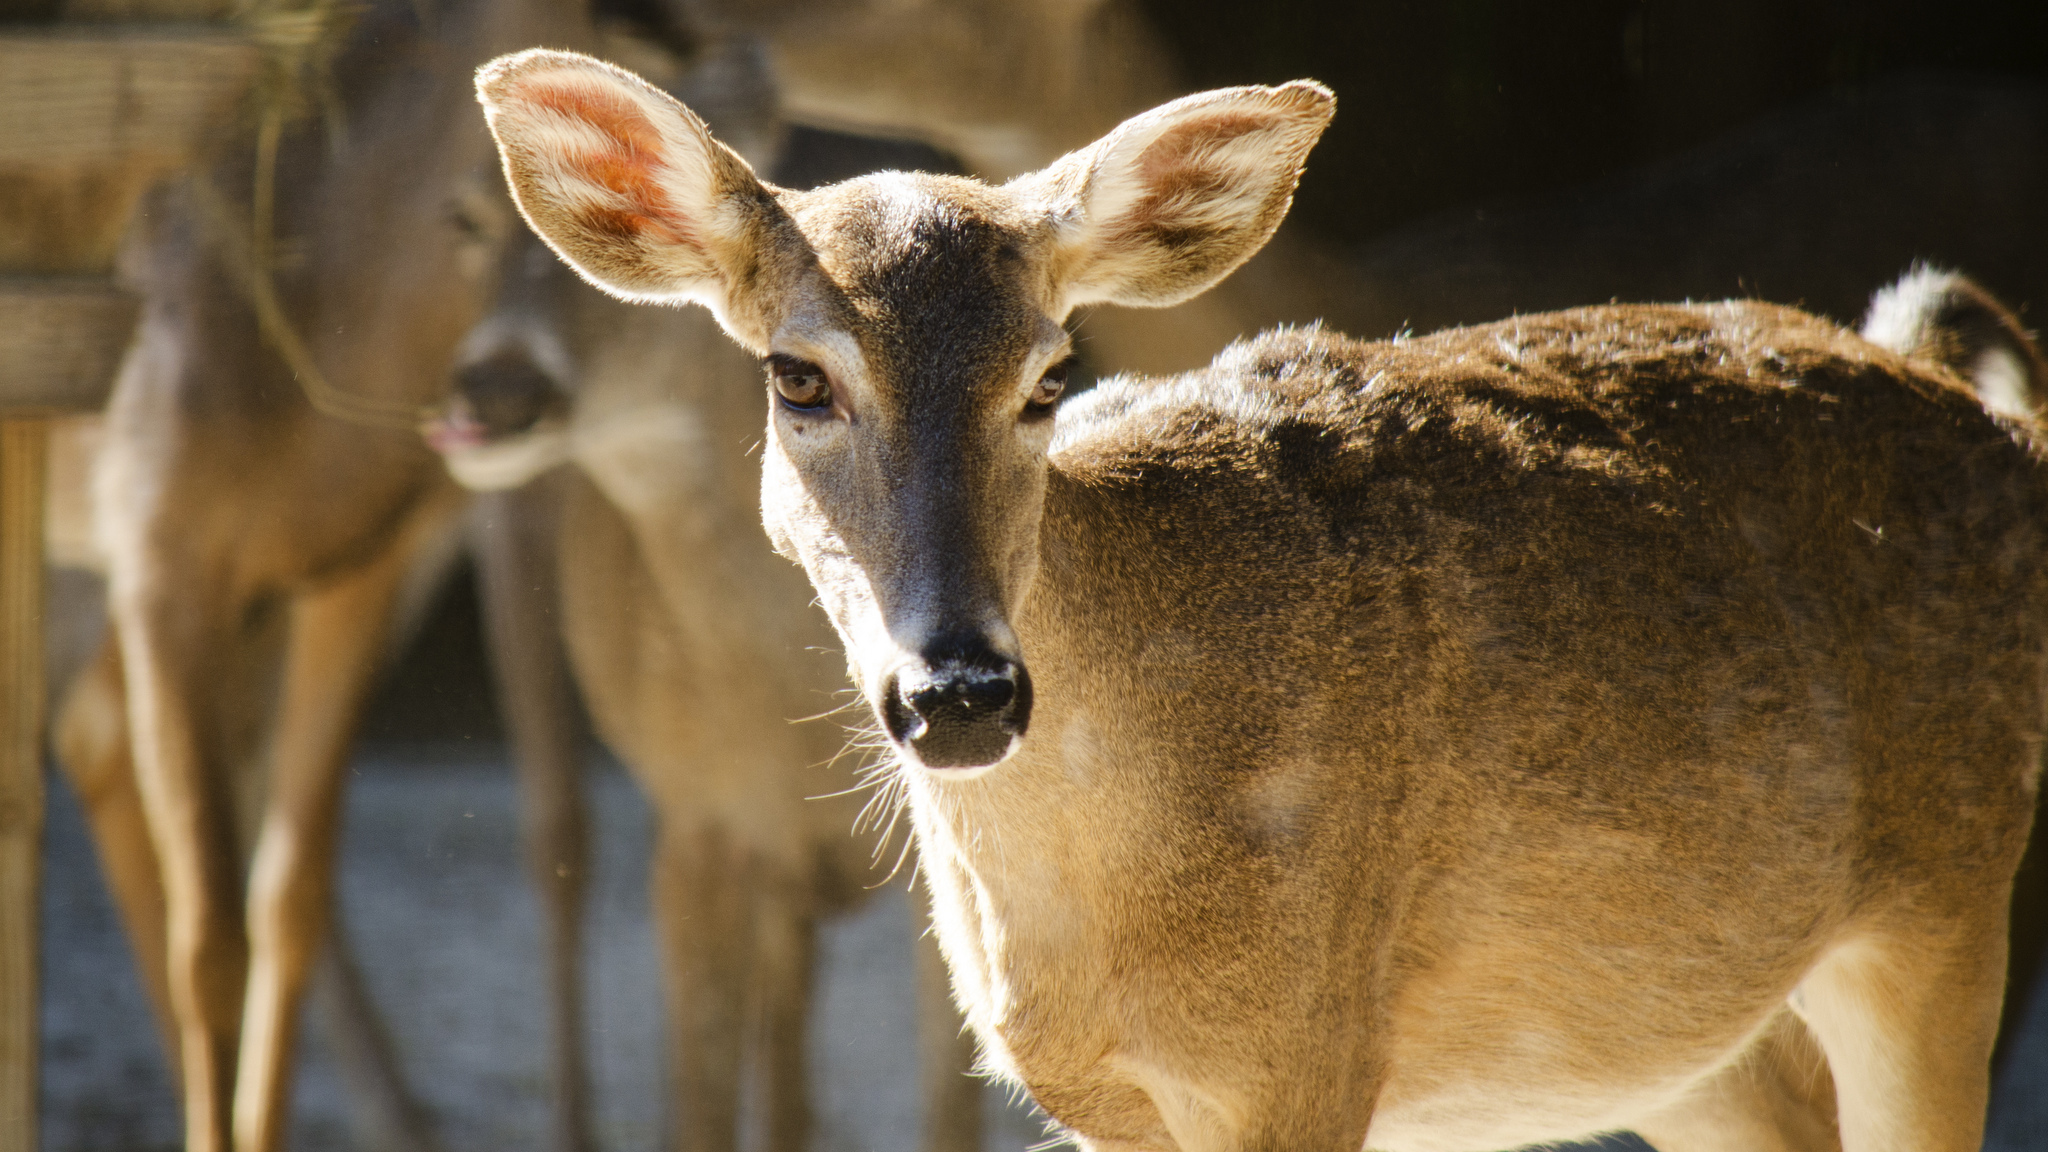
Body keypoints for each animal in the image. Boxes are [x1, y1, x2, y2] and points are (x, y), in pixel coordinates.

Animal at [475, 51, 2048, 1147]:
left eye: (1052, 375)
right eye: (797, 376)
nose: (962, 692)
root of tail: (1978, 408)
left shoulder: (1302, 1051)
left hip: (1946, 894)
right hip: (1669, 1026)